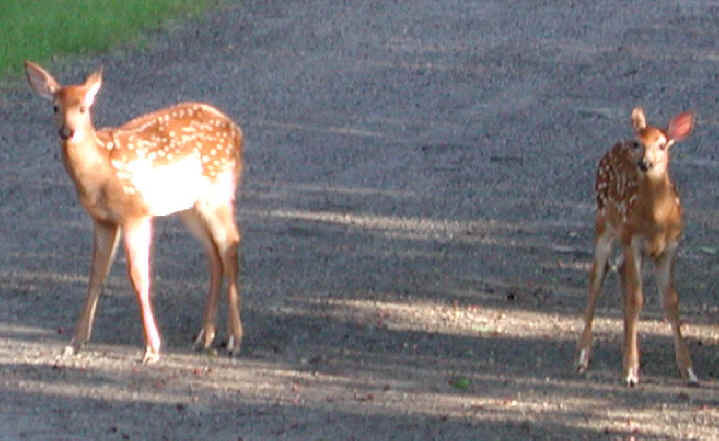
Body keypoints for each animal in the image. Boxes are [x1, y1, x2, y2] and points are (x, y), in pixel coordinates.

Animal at [25, 61, 244, 364]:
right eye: (55, 107)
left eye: (84, 108)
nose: (67, 132)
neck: (100, 172)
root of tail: (237, 131)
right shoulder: (103, 220)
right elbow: (96, 275)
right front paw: (75, 342)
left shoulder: (135, 213)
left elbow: (139, 277)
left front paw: (152, 348)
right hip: (189, 207)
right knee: (214, 254)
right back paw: (205, 336)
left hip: (217, 193)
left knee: (230, 245)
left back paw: (234, 339)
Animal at [576, 106, 698, 386]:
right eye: (638, 143)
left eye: (662, 144)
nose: (645, 163)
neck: (656, 220)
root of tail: (614, 146)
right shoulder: (634, 242)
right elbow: (636, 299)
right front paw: (631, 371)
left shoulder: (670, 248)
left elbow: (671, 301)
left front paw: (688, 371)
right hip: (604, 225)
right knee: (597, 278)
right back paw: (583, 358)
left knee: (619, 271)